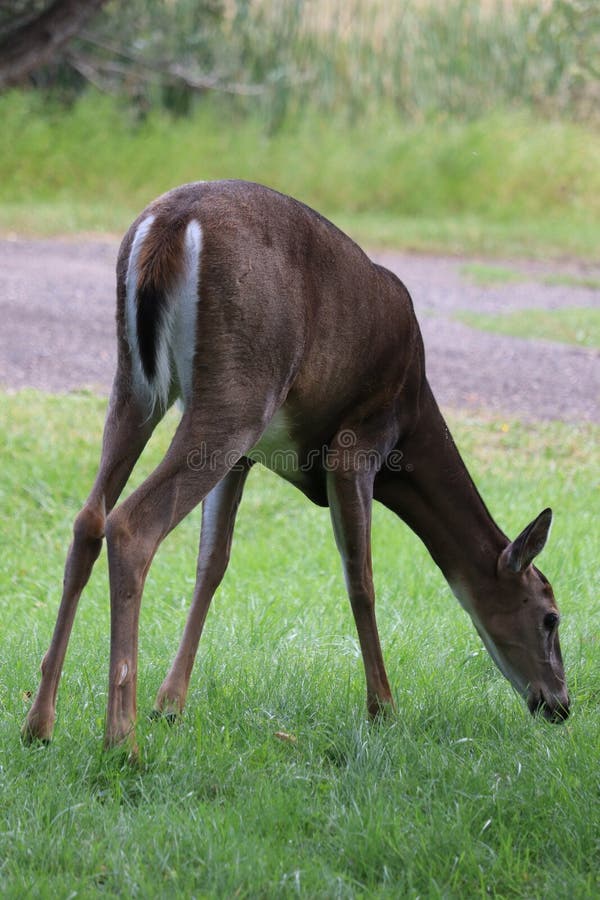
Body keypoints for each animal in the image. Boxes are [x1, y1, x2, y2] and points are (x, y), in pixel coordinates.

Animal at [21, 178, 568, 752]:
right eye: (550, 617)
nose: (561, 704)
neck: (413, 418)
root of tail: (168, 224)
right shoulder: (357, 442)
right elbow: (361, 578)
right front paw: (384, 709)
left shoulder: (248, 457)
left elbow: (212, 563)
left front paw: (169, 704)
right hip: (238, 391)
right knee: (130, 523)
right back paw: (121, 740)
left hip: (138, 384)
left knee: (89, 518)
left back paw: (39, 724)